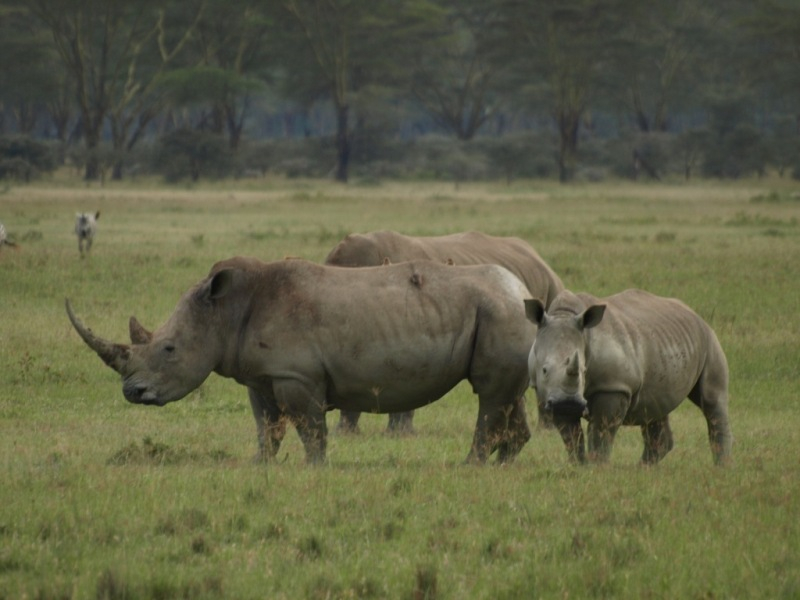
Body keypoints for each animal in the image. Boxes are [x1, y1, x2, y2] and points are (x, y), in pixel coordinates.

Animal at [69, 256, 536, 464]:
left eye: (168, 350)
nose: (132, 392)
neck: (224, 312)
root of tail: (522, 288)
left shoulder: (297, 375)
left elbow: (310, 430)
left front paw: (316, 469)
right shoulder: (261, 377)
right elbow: (266, 427)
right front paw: (260, 466)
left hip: (498, 313)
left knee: (489, 396)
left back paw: (470, 465)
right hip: (502, 314)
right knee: (505, 396)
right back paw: (502, 465)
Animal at [524, 288, 732, 466]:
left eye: (583, 370)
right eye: (544, 370)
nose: (569, 403)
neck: (564, 315)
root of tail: (694, 313)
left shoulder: (613, 386)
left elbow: (601, 430)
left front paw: (597, 467)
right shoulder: (550, 394)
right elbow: (570, 434)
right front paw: (578, 466)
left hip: (709, 339)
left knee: (712, 400)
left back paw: (722, 469)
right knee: (655, 406)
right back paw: (642, 469)